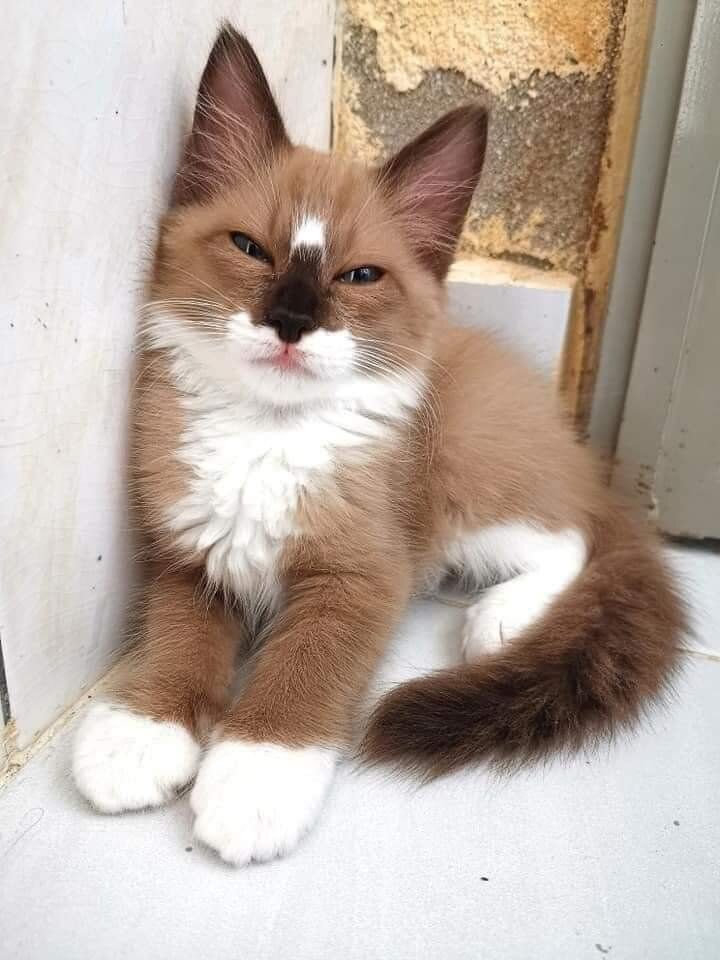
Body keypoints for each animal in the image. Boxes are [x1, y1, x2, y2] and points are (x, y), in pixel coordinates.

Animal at [73, 26, 688, 868]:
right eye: (250, 249)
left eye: (359, 275)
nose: (292, 321)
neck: (269, 432)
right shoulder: (191, 556)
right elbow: (177, 641)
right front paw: (142, 733)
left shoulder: (362, 576)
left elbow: (304, 669)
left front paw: (255, 779)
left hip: (465, 467)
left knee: (574, 536)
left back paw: (501, 618)